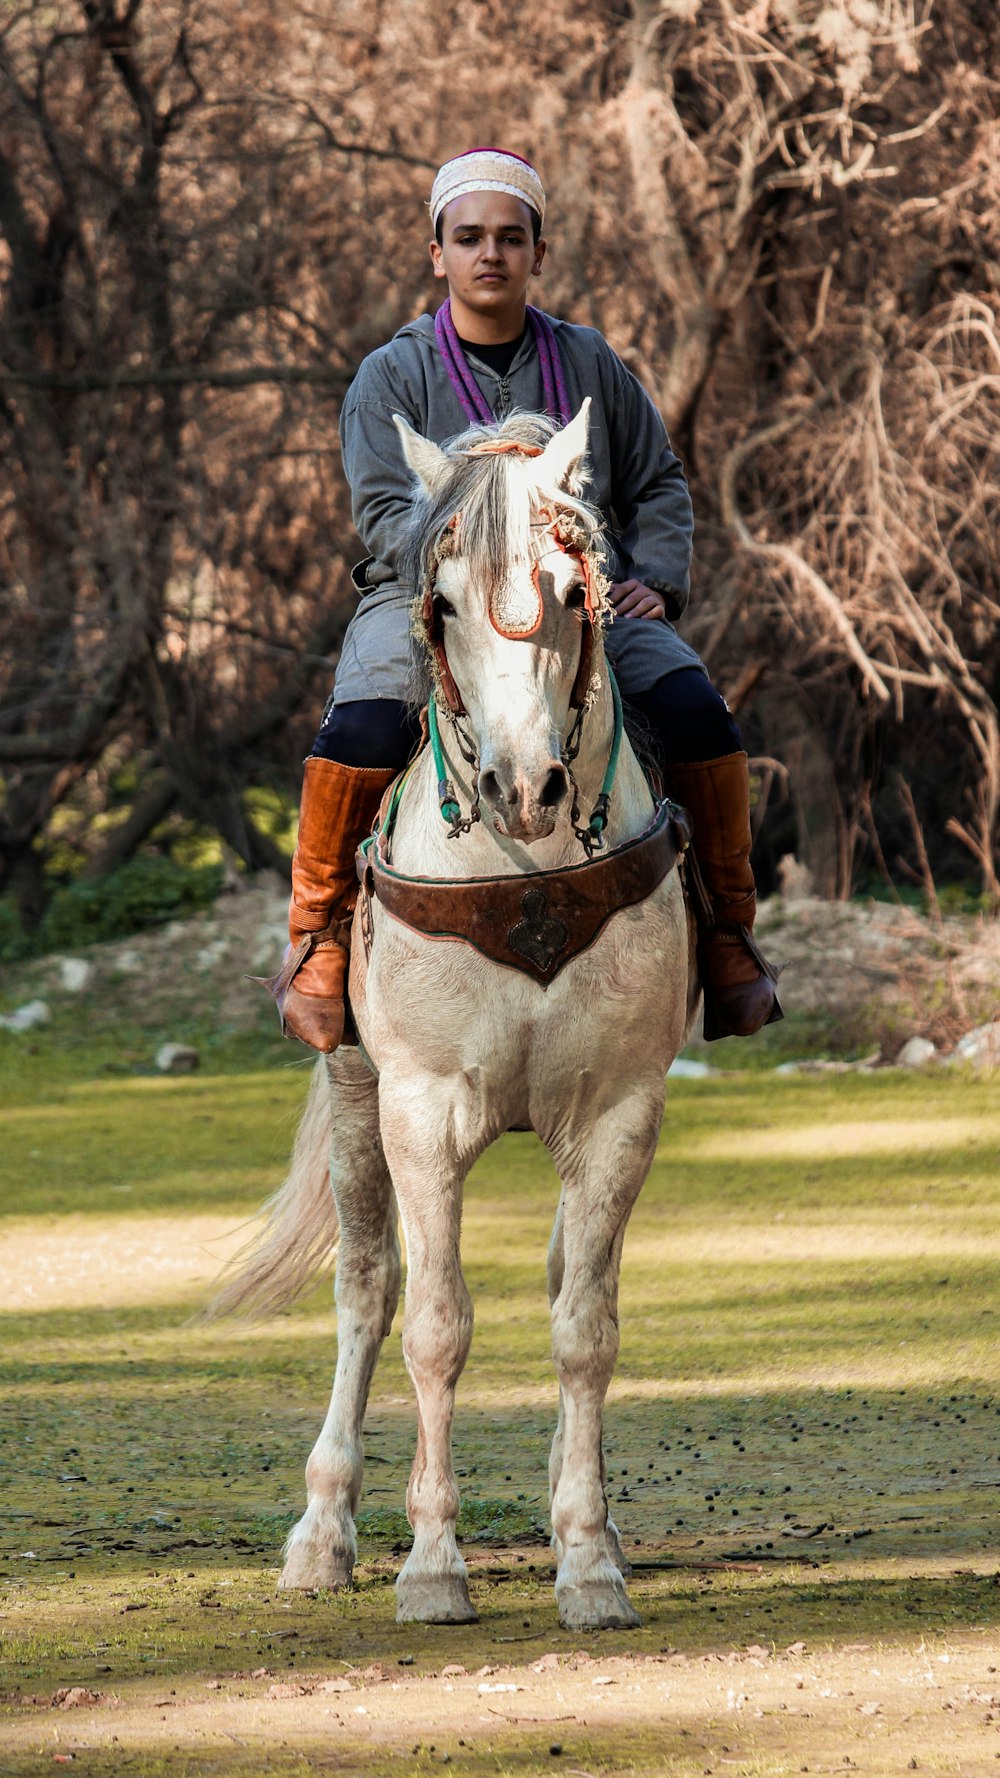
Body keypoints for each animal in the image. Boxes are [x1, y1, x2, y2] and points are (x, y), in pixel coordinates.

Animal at [219, 408, 693, 1628]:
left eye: (573, 591)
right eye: (439, 604)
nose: (522, 788)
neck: (521, 872)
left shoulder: (620, 1115)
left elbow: (585, 1328)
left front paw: (588, 1557)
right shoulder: (422, 1112)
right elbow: (432, 1324)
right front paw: (432, 1563)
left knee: (563, 1277)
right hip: (354, 1097)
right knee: (366, 1291)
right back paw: (325, 1531)